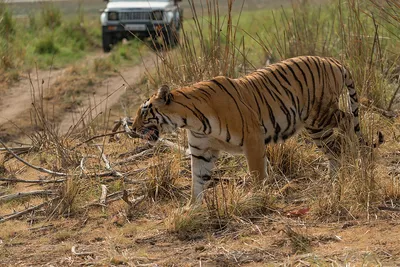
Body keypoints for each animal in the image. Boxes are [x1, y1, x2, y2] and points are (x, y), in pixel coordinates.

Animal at [130, 55, 382, 204]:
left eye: (144, 111)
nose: (131, 128)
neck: (190, 119)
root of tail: (333, 60)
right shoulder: (202, 151)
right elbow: (198, 180)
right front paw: (192, 208)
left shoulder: (252, 138)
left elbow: (257, 172)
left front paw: (257, 196)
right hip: (316, 125)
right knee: (335, 145)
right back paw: (335, 175)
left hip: (319, 116)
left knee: (347, 121)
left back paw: (351, 158)